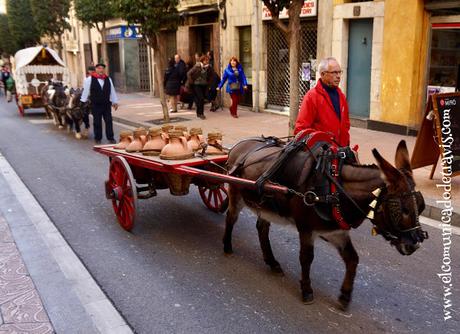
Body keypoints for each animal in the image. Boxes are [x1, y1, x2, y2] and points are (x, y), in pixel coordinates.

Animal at [223, 136, 428, 310]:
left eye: (421, 206)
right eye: (403, 209)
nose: (415, 245)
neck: (335, 188)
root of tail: (239, 145)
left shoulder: (336, 231)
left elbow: (352, 259)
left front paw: (345, 295)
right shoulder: (306, 229)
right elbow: (306, 258)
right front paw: (306, 290)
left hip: (265, 207)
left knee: (262, 229)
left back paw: (272, 263)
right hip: (235, 193)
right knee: (231, 218)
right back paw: (227, 246)